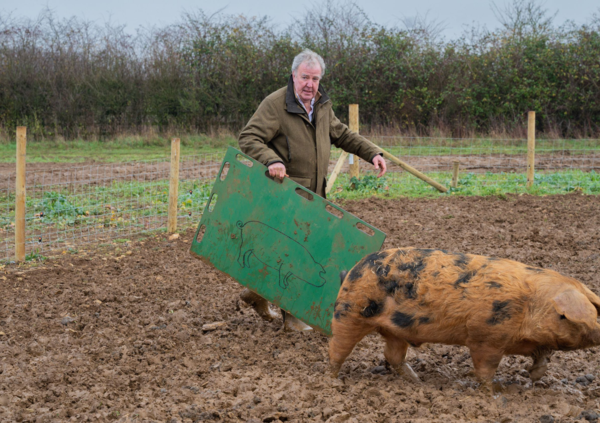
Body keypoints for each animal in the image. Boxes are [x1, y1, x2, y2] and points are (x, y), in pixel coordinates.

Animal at [328, 248, 600, 390]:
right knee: (337, 349)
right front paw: (494, 389)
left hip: (396, 331)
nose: (598, 331)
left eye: (594, 309)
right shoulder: (485, 336)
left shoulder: (535, 342)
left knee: (392, 355)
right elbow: (485, 368)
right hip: (349, 313)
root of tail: (353, 269)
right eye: (567, 316)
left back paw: (418, 382)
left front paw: (532, 379)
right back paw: (332, 381)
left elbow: (543, 357)